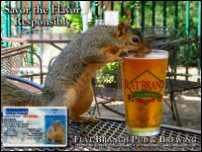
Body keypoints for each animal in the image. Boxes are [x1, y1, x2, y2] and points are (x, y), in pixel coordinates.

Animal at [1, 22, 150, 122]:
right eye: (135, 40)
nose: (148, 50)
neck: (110, 36)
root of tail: (44, 97)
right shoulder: (93, 43)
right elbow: (90, 54)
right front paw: (119, 58)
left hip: (86, 97)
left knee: (73, 115)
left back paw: (85, 119)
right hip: (64, 96)